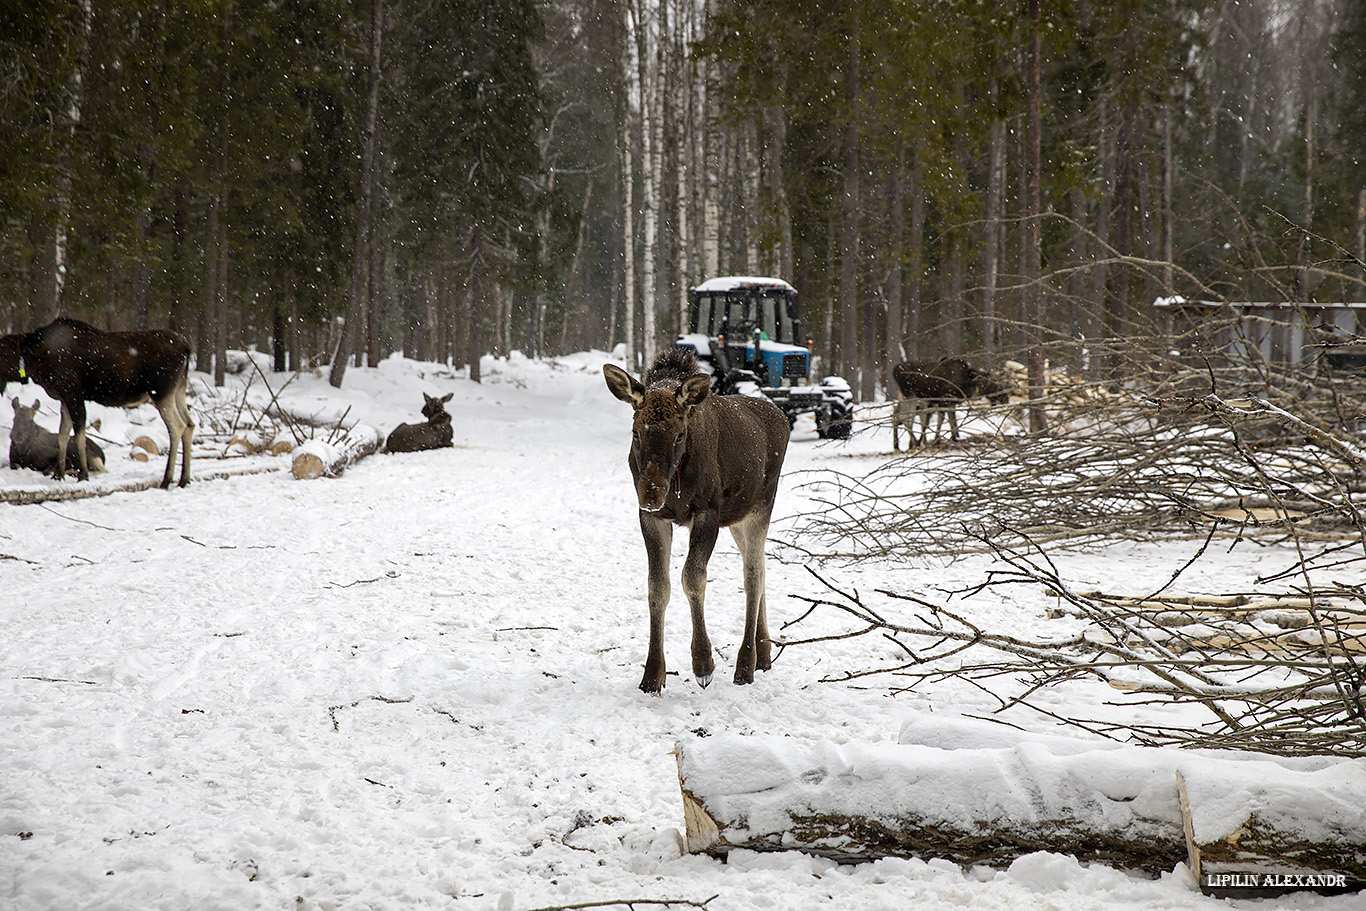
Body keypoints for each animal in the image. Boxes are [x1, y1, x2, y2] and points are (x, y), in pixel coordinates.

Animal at [12, 319, 195, 488]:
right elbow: (63, 435)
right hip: (179, 389)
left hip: (161, 392)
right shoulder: (64, 398)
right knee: (190, 424)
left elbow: (79, 435)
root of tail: (187, 347)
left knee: (177, 426)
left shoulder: (74, 393)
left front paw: (83, 474)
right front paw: (58, 474)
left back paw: (167, 479)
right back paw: (184, 479)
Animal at [606, 346, 792, 691]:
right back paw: (763, 654)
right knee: (761, 567)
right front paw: (652, 676)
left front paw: (703, 663)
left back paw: (744, 665)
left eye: (679, 434)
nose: (651, 494)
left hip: (761, 506)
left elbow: (692, 577)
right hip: (737, 519)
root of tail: (782, 417)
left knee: (753, 576)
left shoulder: (707, 511)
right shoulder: (653, 518)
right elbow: (657, 586)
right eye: (636, 431)